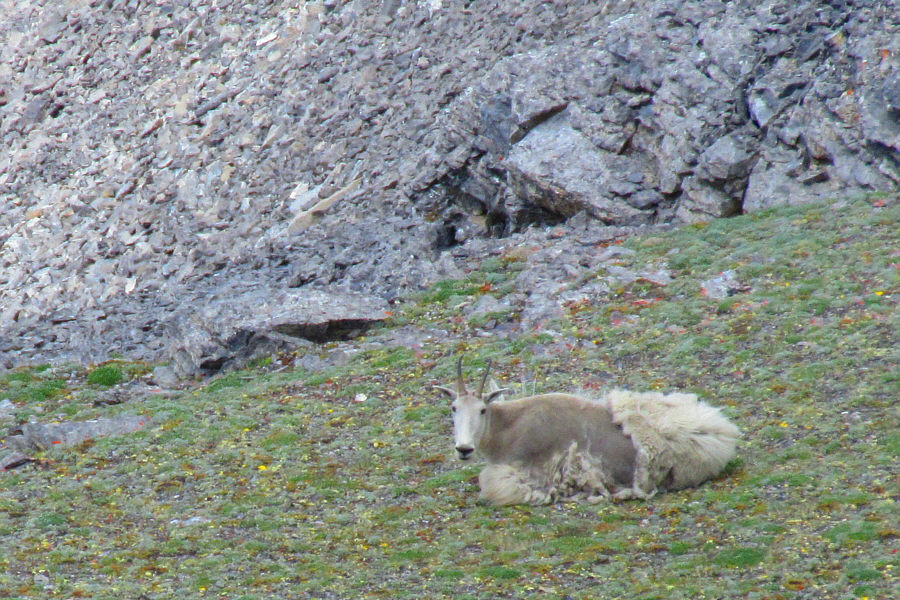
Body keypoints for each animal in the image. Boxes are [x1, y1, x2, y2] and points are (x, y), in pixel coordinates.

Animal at [435, 359, 740, 505]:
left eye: (482, 410)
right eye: (453, 407)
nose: (464, 449)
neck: (506, 427)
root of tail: (723, 436)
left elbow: (490, 487)